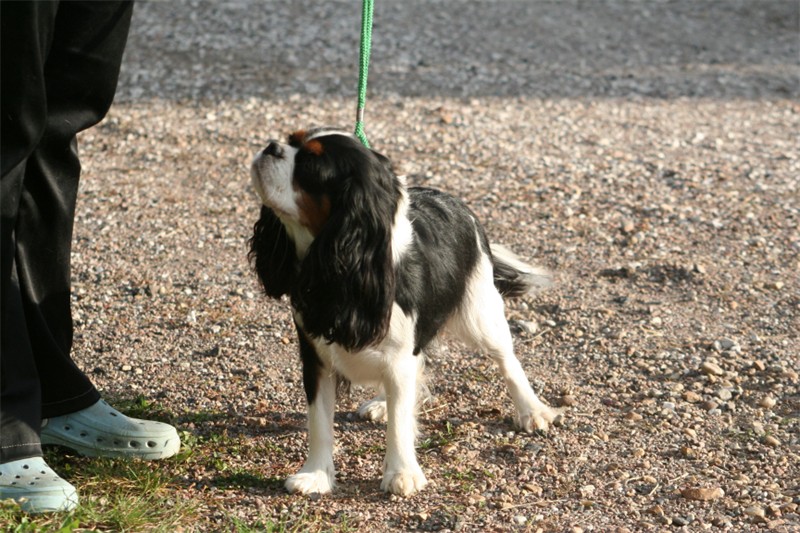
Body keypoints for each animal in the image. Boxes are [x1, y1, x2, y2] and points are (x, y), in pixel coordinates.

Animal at [248, 128, 556, 494]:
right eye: (290, 139)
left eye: (309, 164)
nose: (270, 147)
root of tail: (456, 203)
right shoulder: (316, 356)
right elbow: (319, 422)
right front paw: (316, 475)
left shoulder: (398, 356)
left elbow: (400, 421)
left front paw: (402, 472)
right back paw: (383, 402)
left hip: (481, 312)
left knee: (506, 360)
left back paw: (531, 410)